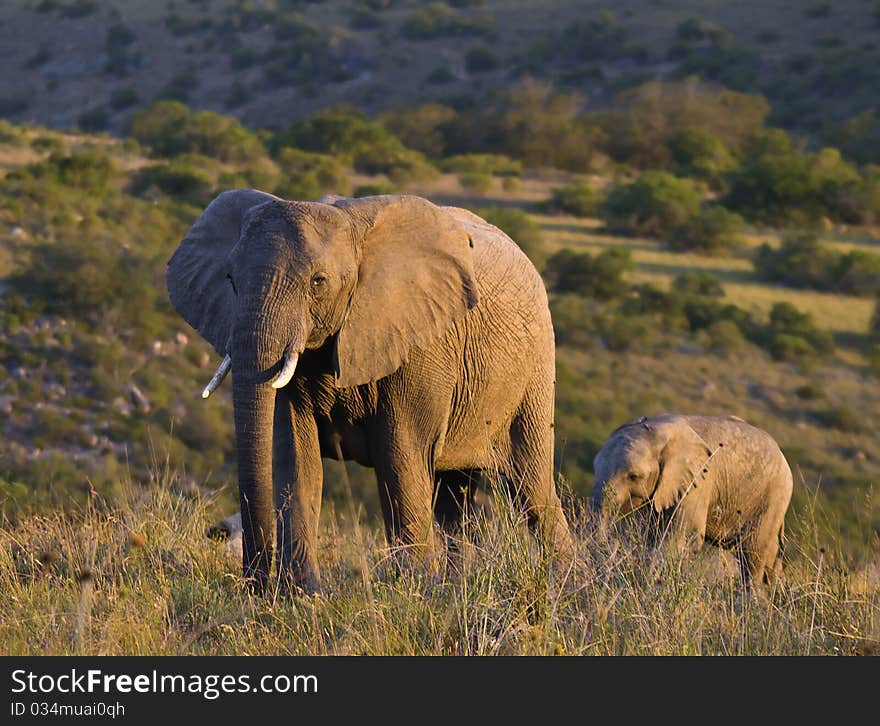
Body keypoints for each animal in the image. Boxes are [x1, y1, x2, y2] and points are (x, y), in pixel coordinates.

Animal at [168, 191, 576, 596]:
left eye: (318, 282)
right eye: (230, 280)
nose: (256, 582)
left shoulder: (419, 342)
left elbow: (400, 458)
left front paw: (414, 594)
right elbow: (296, 457)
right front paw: (302, 596)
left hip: (535, 371)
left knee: (532, 488)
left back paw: (565, 587)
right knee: (455, 497)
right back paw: (460, 589)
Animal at [596, 412, 796, 588]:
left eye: (633, 476)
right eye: (594, 466)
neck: (656, 429)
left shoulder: (698, 481)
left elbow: (679, 540)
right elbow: (653, 536)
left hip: (774, 495)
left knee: (752, 554)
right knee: (769, 560)